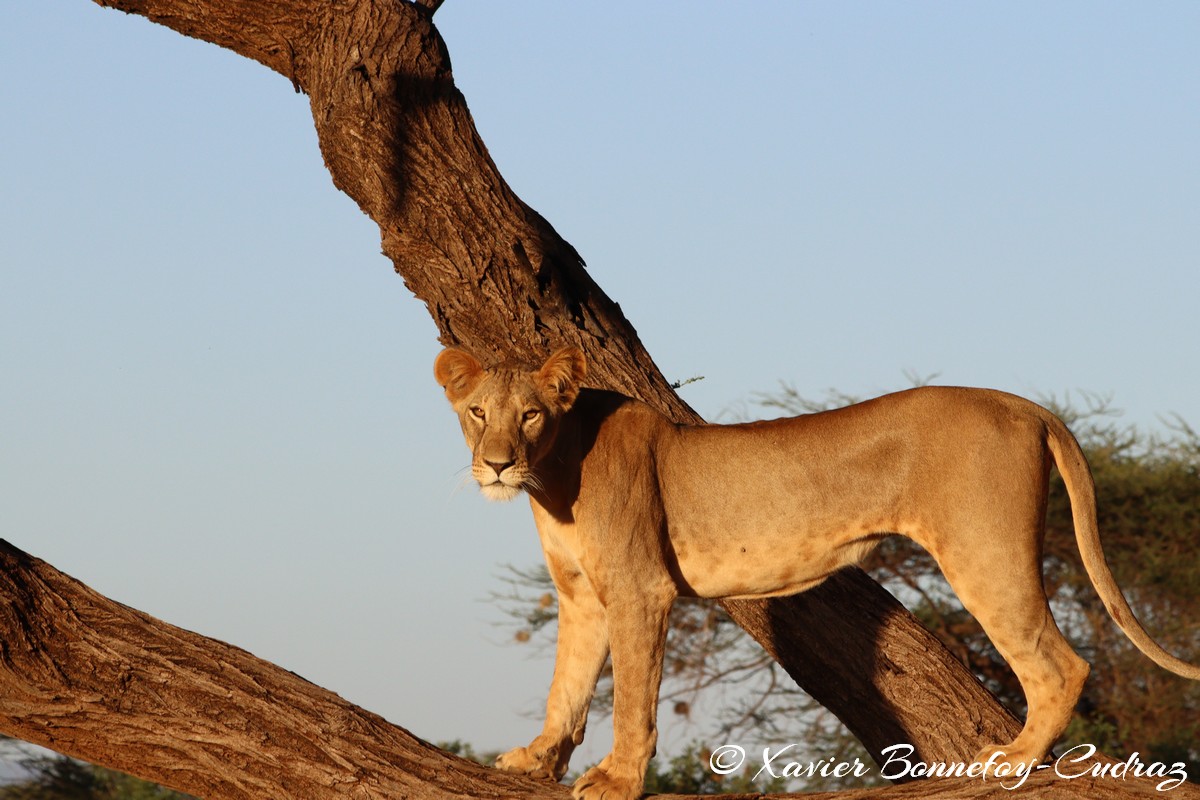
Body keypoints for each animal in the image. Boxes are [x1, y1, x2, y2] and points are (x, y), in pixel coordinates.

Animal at [432, 345, 1200, 800]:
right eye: (477, 412)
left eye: (531, 415)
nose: (496, 464)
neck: (553, 477)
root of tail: (1021, 402)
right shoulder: (584, 596)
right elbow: (565, 685)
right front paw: (538, 759)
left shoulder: (638, 589)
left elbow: (630, 699)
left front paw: (617, 779)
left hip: (984, 551)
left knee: (1061, 664)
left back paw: (1013, 760)